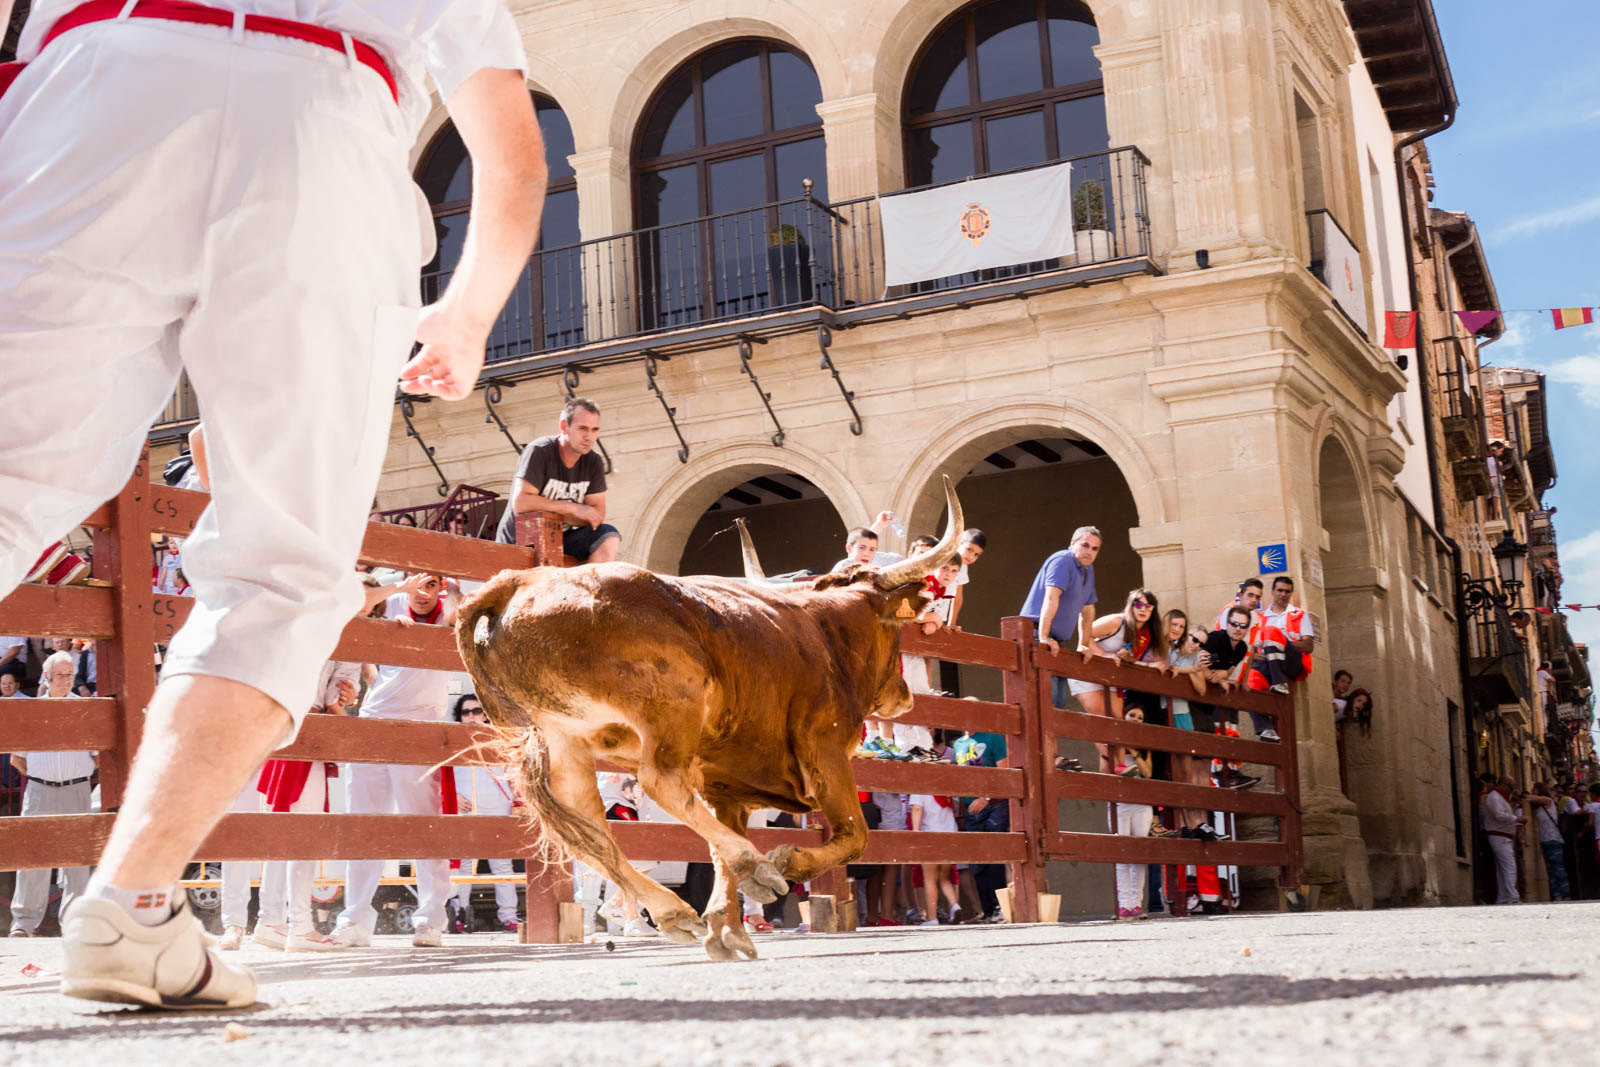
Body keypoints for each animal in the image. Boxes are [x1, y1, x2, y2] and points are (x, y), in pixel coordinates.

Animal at [454, 476, 960, 959]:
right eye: (896, 632)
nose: (904, 696)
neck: (825, 630)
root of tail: (518, 582)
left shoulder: (725, 786)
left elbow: (716, 853)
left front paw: (727, 928)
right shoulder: (826, 750)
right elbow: (855, 836)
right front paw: (783, 865)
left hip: (565, 739)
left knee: (588, 829)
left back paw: (673, 910)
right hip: (671, 704)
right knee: (659, 782)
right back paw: (754, 864)